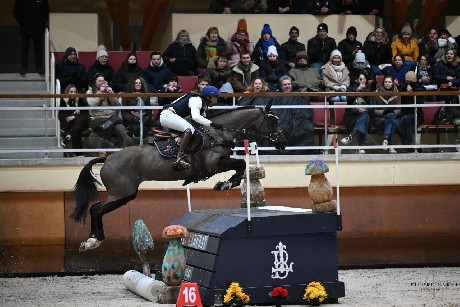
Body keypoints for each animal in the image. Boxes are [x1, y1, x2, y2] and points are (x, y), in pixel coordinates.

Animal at [70, 104, 286, 251]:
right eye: (273, 121)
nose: (283, 143)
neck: (218, 133)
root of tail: (107, 158)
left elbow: (241, 165)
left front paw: (227, 183)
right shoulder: (214, 164)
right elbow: (240, 164)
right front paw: (226, 183)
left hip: (124, 194)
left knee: (97, 209)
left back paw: (92, 240)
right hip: (122, 193)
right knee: (96, 210)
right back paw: (92, 241)